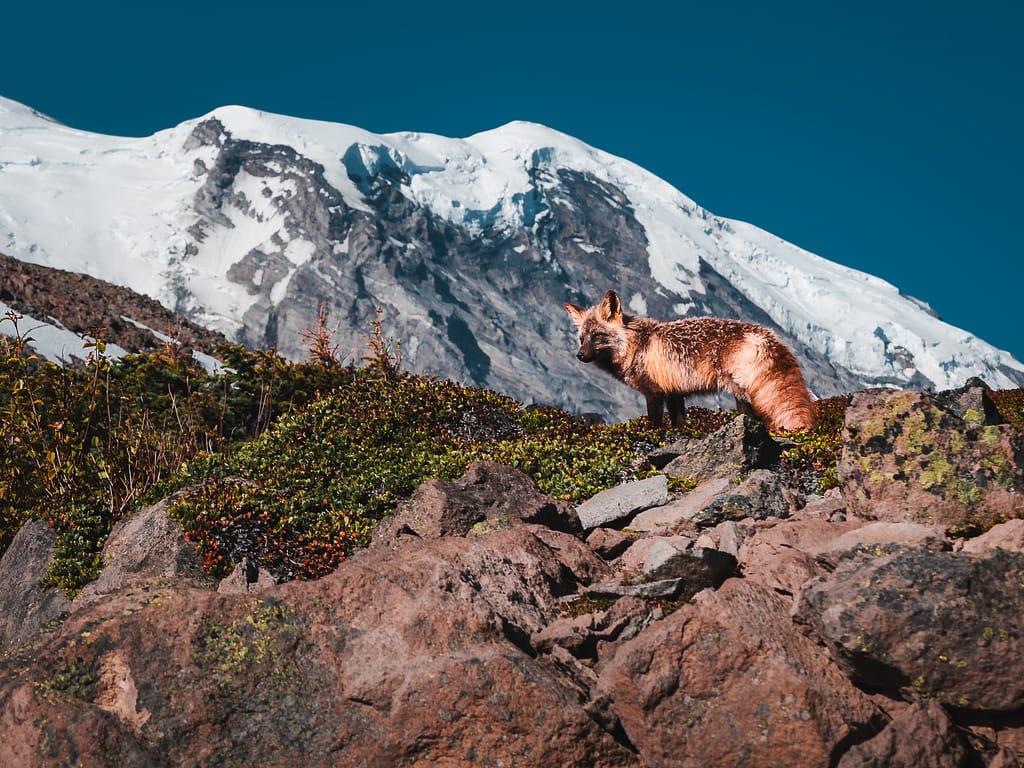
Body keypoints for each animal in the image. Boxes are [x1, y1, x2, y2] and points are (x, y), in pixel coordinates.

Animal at [561, 290, 815, 434]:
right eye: (582, 338)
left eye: (598, 336)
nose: (580, 356)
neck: (636, 346)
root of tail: (767, 335)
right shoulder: (674, 393)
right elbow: (679, 423)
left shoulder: (654, 393)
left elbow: (655, 424)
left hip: (744, 393)